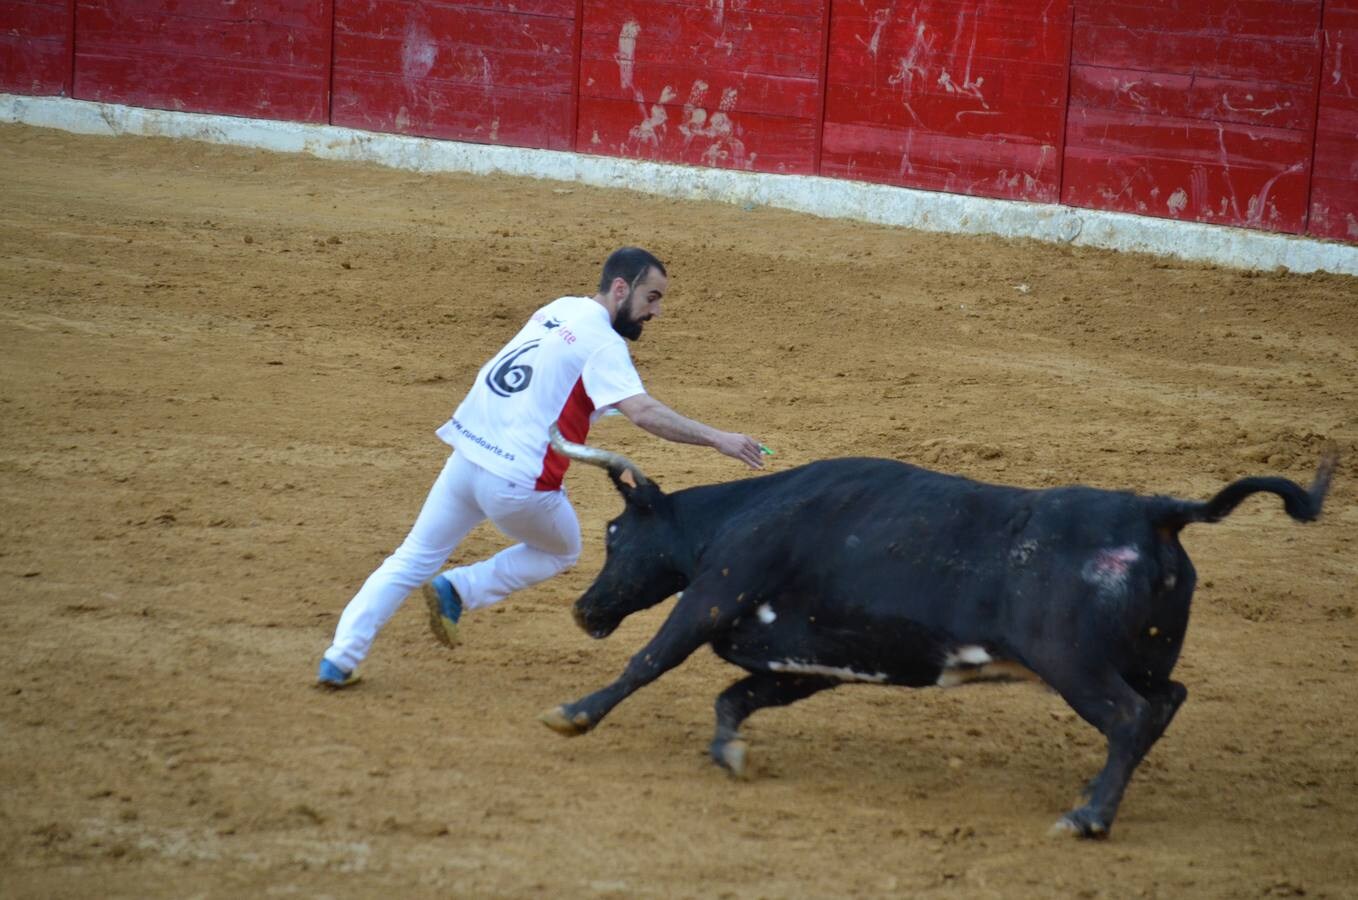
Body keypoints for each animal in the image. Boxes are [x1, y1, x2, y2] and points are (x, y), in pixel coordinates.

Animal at [535, 428, 1330, 836]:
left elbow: (650, 660)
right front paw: (729, 753)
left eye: (612, 534)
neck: (743, 511)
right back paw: (1094, 792)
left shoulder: (713, 593)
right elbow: (738, 695)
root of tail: (1156, 512)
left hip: (1072, 664)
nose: (583, 610)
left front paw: (573, 714)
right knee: (1166, 701)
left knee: (1132, 716)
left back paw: (1088, 816)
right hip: (1142, 659)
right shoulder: (815, 657)